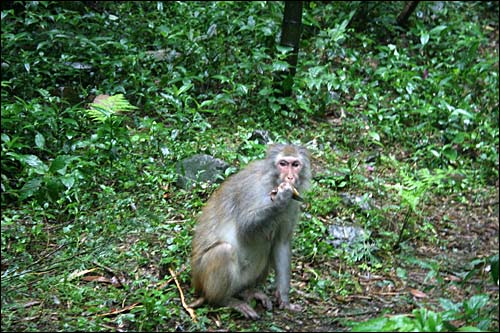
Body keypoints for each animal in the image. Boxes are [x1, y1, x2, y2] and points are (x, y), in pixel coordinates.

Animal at [189, 143, 310, 320]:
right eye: (283, 164)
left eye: (295, 165)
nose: (290, 178)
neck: (271, 182)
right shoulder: (252, 189)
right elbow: (244, 227)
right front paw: (280, 200)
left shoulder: (293, 206)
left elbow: (281, 244)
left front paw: (284, 299)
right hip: (202, 279)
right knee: (223, 251)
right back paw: (225, 301)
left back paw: (248, 292)